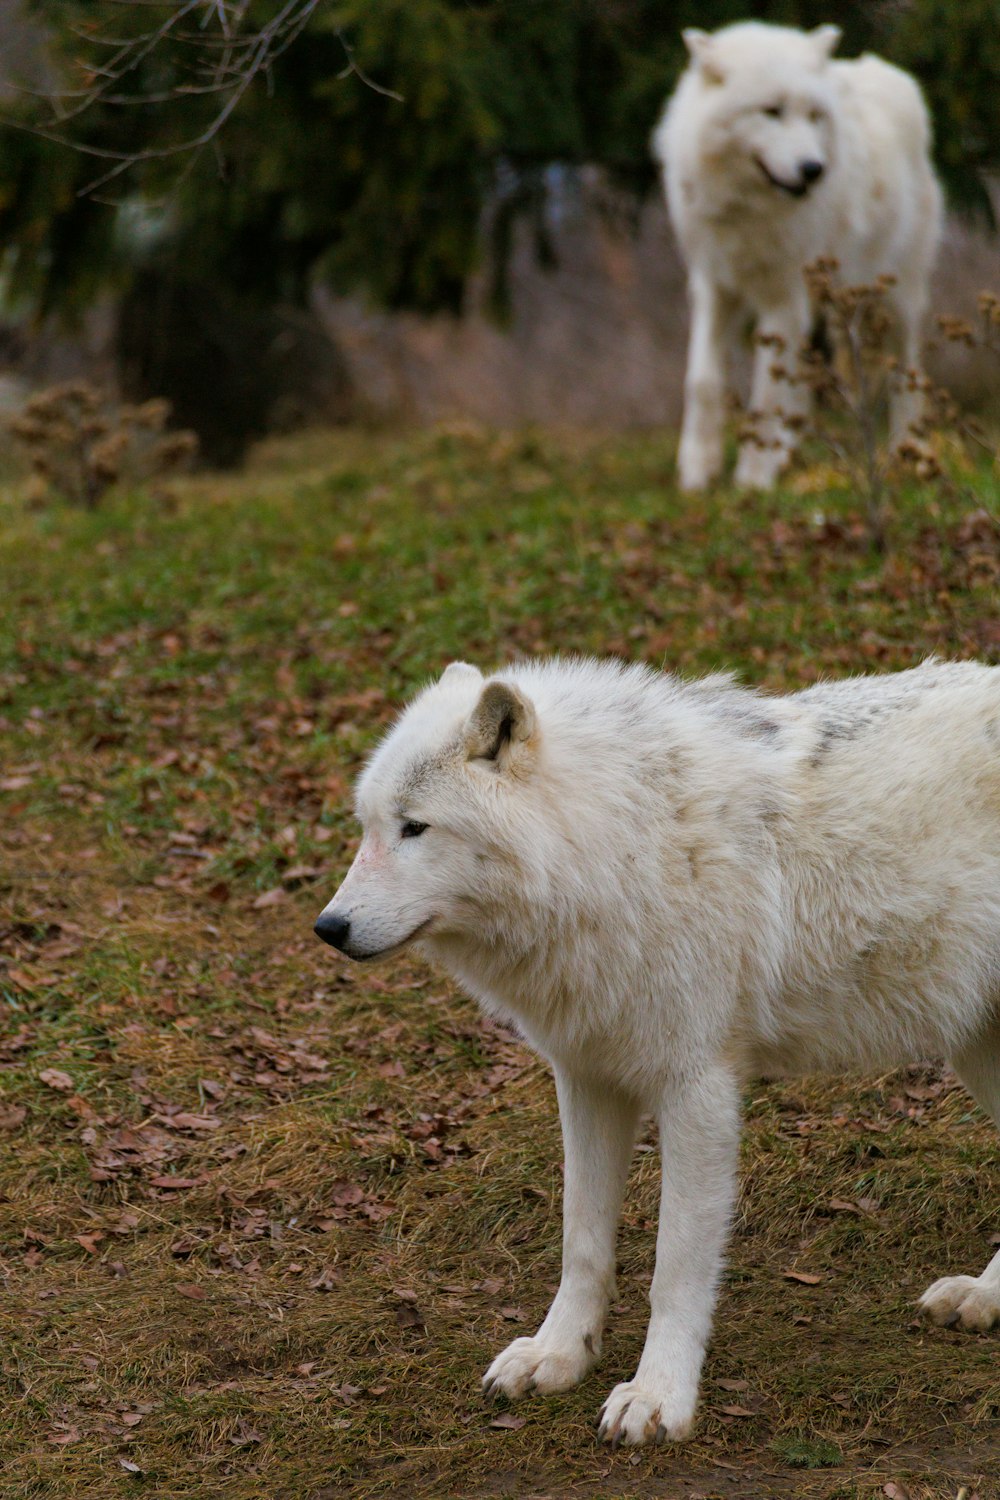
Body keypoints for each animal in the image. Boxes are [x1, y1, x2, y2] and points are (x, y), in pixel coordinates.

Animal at [319, 663, 1000, 1446]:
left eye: (415, 827)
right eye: (369, 827)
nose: (328, 927)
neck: (614, 845)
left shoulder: (697, 1088)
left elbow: (675, 1267)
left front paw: (657, 1396)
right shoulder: (585, 1077)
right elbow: (582, 1240)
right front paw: (559, 1355)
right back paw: (983, 1296)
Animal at [656, 21, 947, 492]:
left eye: (813, 116)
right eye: (771, 111)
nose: (814, 169)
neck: (750, 210)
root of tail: (891, 74)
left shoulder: (783, 296)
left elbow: (765, 392)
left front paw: (754, 479)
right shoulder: (714, 286)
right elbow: (701, 381)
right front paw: (697, 473)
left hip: (894, 297)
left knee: (907, 369)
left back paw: (910, 452)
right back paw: (789, 449)